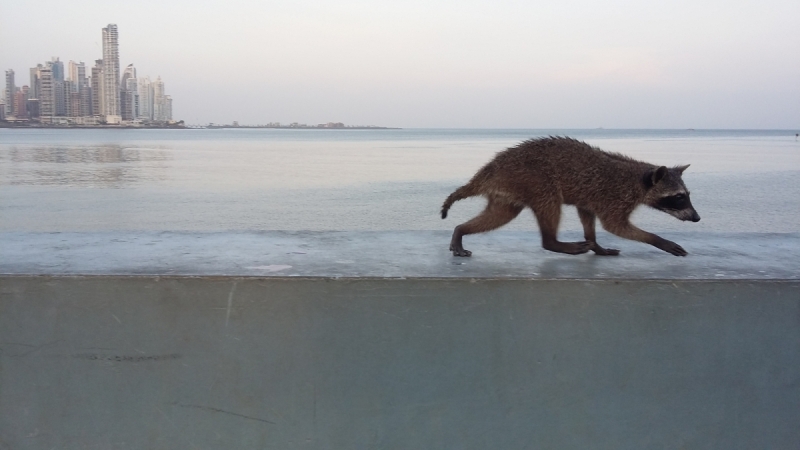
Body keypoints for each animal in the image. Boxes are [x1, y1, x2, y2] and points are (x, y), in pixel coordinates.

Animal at [444, 136, 700, 256]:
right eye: (679, 197)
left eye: (686, 194)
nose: (697, 218)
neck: (639, 178)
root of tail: (491, 169)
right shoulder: (615, 197)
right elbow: (615, 226)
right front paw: (658, 240)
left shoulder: (591, 198)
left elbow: (587, 215)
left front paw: (596, 245)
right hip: (533, 178)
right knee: (550, 203)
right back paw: (553, 243)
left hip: (509, 191)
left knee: (499, 215)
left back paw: (461, 230)